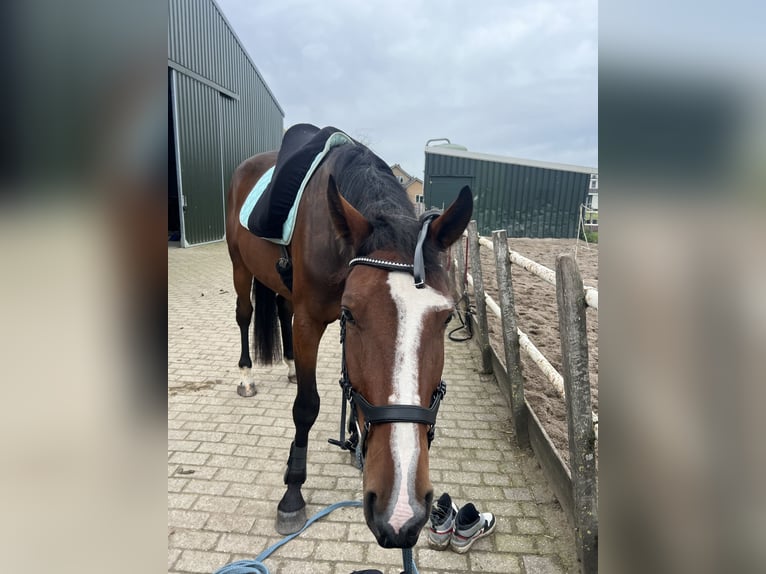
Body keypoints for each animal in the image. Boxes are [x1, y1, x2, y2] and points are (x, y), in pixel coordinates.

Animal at [225, 141, 472, 548]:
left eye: (447, 317)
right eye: (351, 313)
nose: (400, 511)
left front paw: (355, 441)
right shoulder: (309, 322)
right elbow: (307, 406)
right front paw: (293, 492)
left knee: (281, 309)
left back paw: (290, 368)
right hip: (239, 267)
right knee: (244, 315)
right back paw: (245, 376)